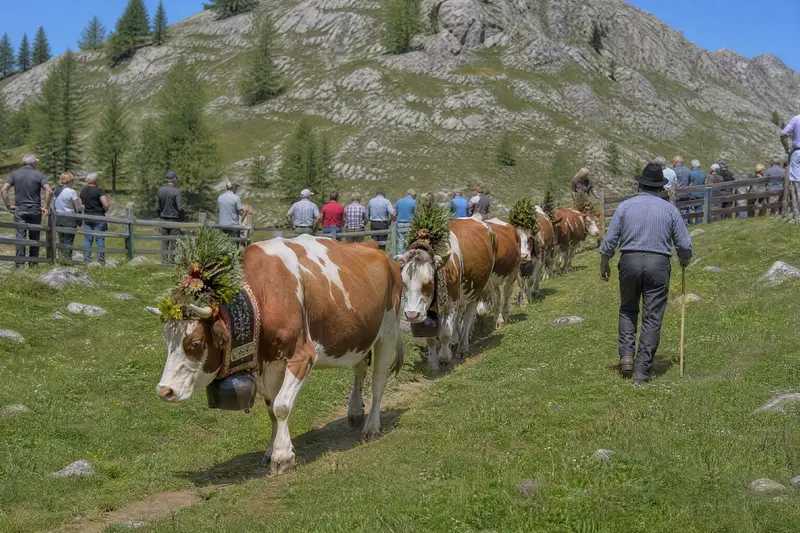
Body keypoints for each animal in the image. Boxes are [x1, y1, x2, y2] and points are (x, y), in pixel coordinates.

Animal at [149, 235, 404, 475]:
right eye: (166, 340)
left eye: (196, 342)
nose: (164, 391)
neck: (263, 295)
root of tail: (375, 247)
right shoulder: (269, 363)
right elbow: (272, 410)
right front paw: (271, 451)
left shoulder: (302, 356)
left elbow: (282, 406)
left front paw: (282, 456)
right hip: (360, 337)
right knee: (360, 369)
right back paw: (355, 412)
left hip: (388, 332)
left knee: (378, 381)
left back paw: (371, 426)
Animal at [397, 218, 496, 370]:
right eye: (404, 282)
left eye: (429, 282)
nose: (412, 315)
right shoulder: (428, 308)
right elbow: (431, 336)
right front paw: (432, 362)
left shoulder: (452, 302)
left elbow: (444, 333)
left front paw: (444, 357)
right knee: (458, 318)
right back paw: (455, 341)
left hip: (476, 292)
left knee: (468, 319)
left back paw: (463, 346)